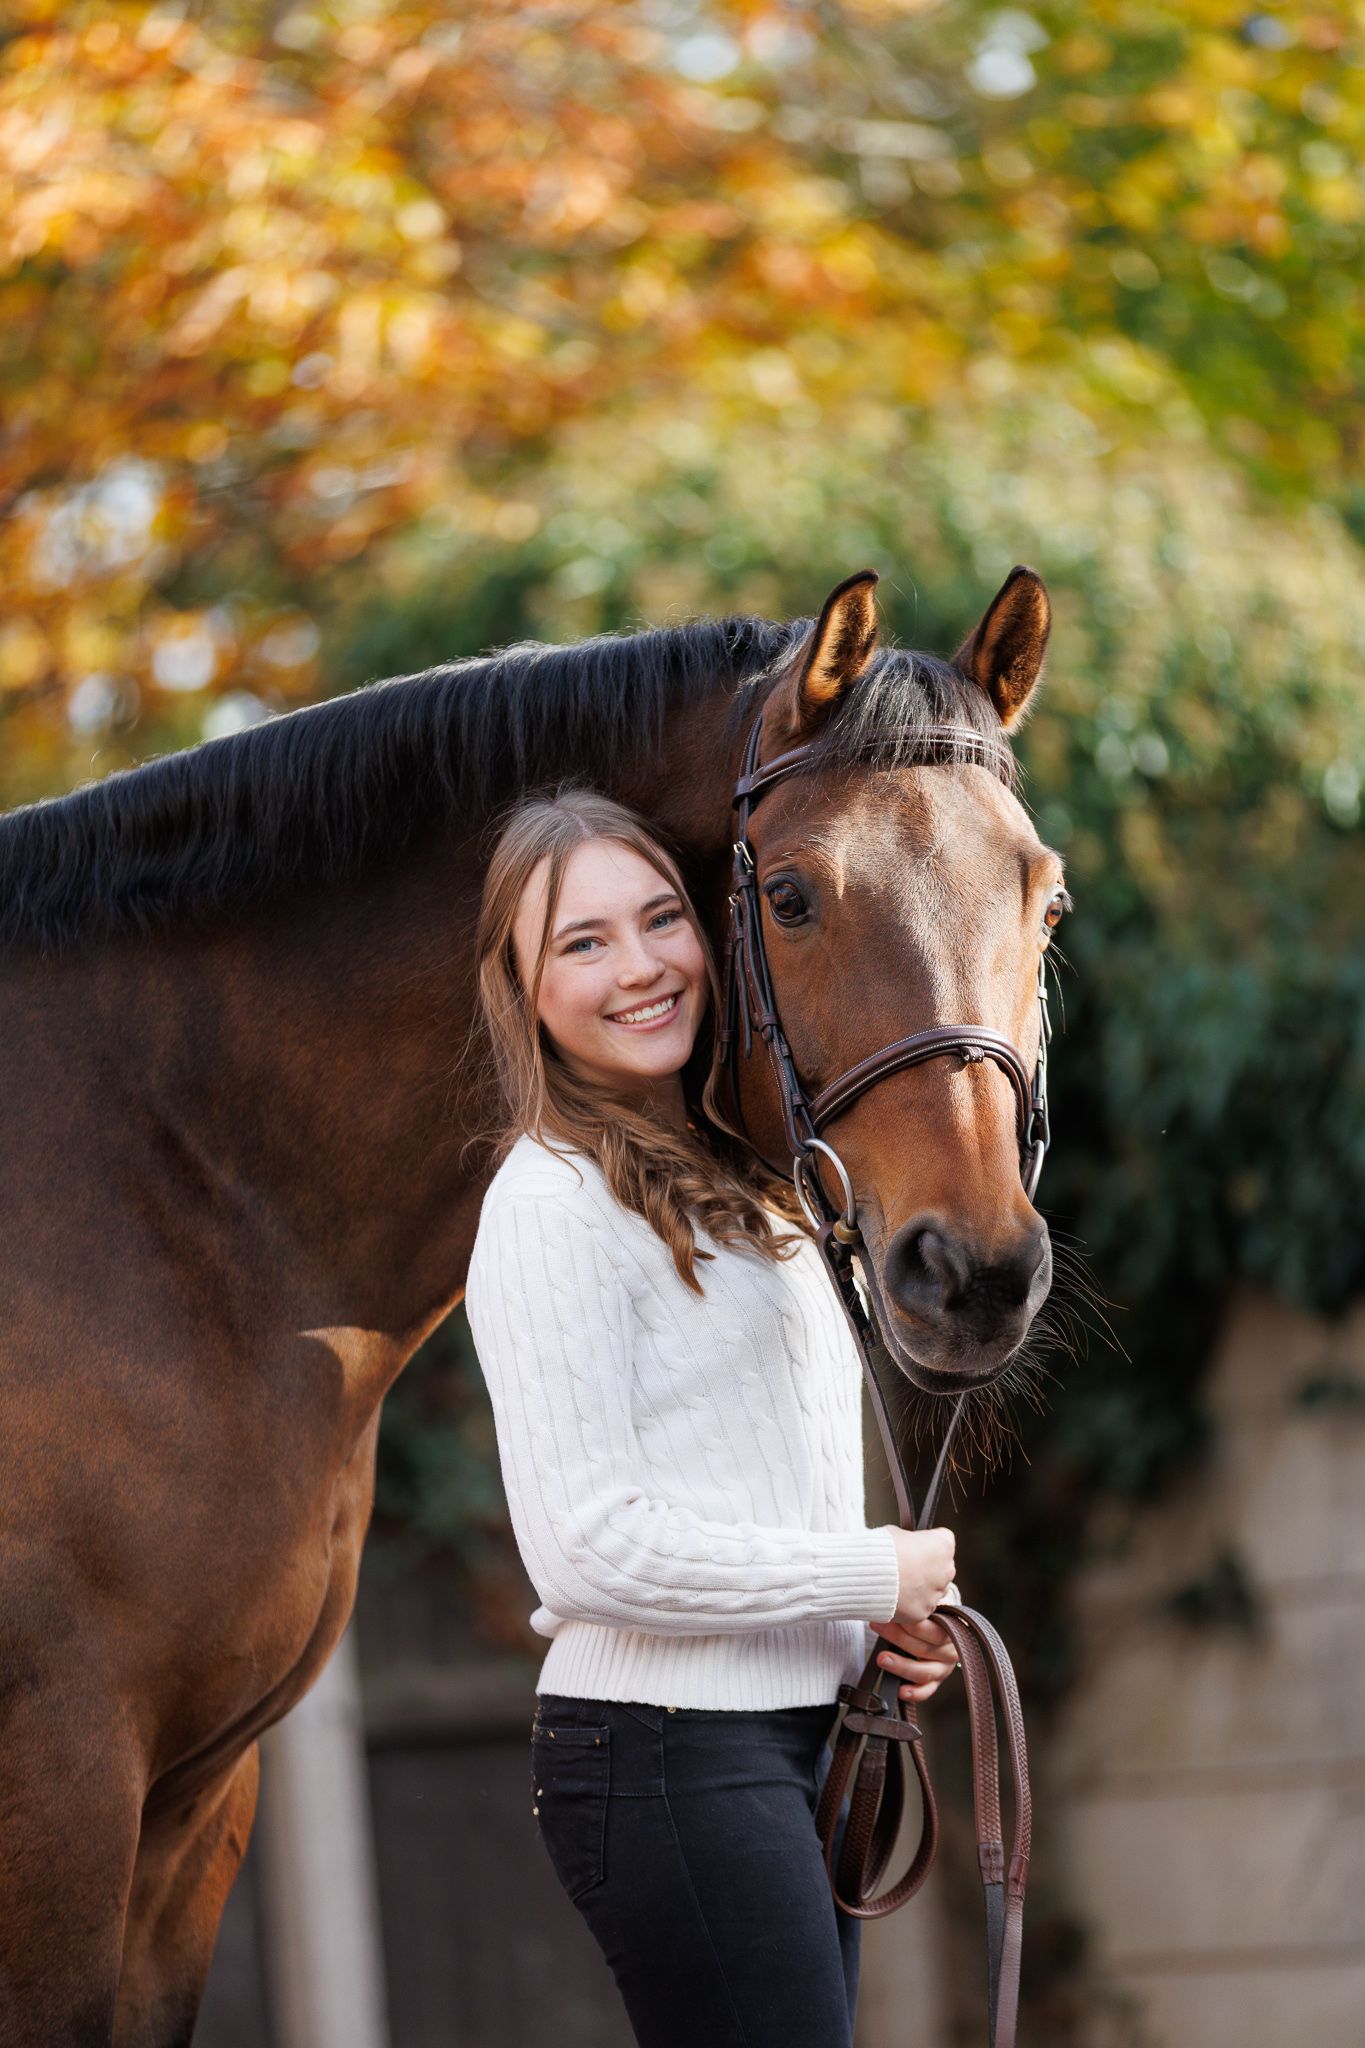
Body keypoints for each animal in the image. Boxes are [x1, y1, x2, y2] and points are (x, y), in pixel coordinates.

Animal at [0, 563, 1059, 2044]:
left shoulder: (187, 1815)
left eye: (1047, 902)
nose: (975, 1274)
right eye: (792, 895)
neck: (159, 1173)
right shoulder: (65, 1785)